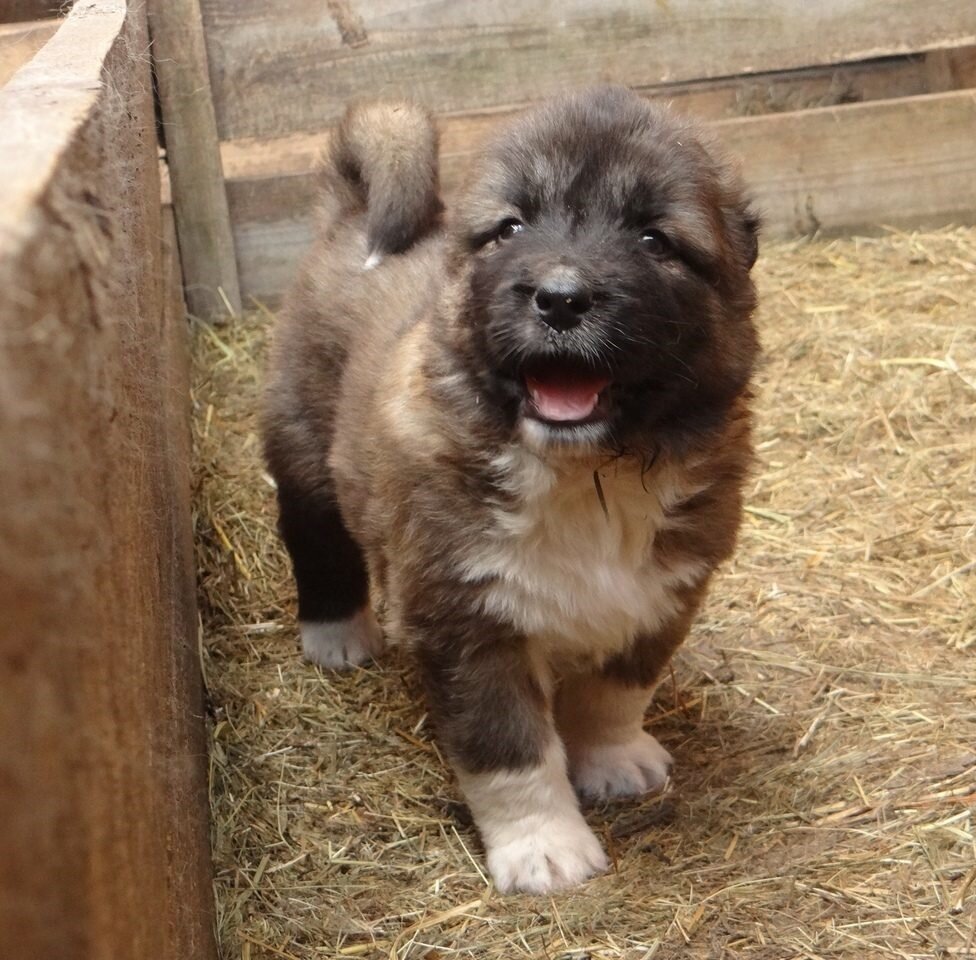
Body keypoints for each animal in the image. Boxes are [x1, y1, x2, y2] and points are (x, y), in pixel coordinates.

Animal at [264, 86, 760, 896]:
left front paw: (614, 759)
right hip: (303, 444)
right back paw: (338, 635)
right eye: (512, 228)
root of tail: (353, 217)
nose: (560, 299)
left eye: (653, 239)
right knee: (318, 540)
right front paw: (543, 846)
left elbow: (618, 691)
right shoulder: (469, 624)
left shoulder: (663, 591)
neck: (586, 474)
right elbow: (510, 751)